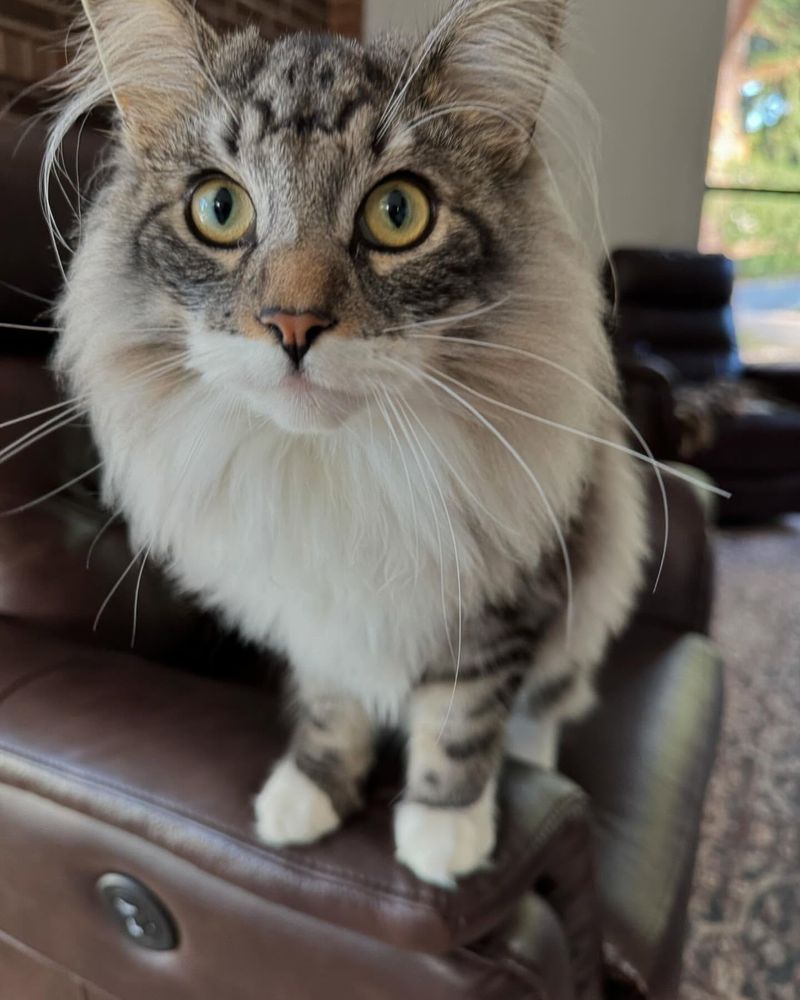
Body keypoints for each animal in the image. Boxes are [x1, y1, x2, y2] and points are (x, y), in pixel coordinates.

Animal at [47, 0, 648, 892]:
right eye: (219, 209)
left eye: (397, 213)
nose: (293, 325)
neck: (334, 470)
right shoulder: (315, 603)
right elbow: (333, 706)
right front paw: (310, 795)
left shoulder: (508, 588)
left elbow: (464, 715)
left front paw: (444, 833)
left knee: (547, 703)